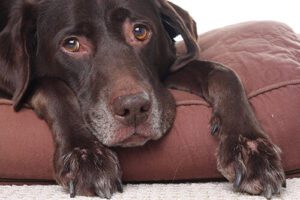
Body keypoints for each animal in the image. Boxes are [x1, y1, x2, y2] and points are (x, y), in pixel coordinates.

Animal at [0, 0, 286, 198]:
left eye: (140, 31)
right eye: (71, 44)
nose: (134, 108)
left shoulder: (168, 69)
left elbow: (224, 72)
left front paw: (251, 148)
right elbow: (53, 86)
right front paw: (85, 154)